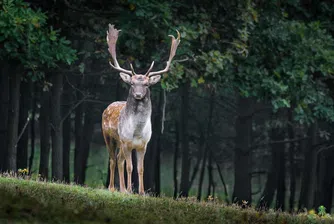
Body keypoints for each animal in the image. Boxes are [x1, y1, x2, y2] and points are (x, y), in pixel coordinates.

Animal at [102, 24, 180, 195]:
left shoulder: (143, 145)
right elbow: (130, 167)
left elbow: (141, 168)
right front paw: (130, 190)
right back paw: (112, 188)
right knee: (113, 159)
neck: (137, 131)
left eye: (146, 84)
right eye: (132, 83)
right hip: (109, 137)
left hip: (120, 143)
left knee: (119, 159)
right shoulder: (126, 142)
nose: (138, 94)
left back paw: (121, 189)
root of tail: (108, 107)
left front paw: (141, 192)